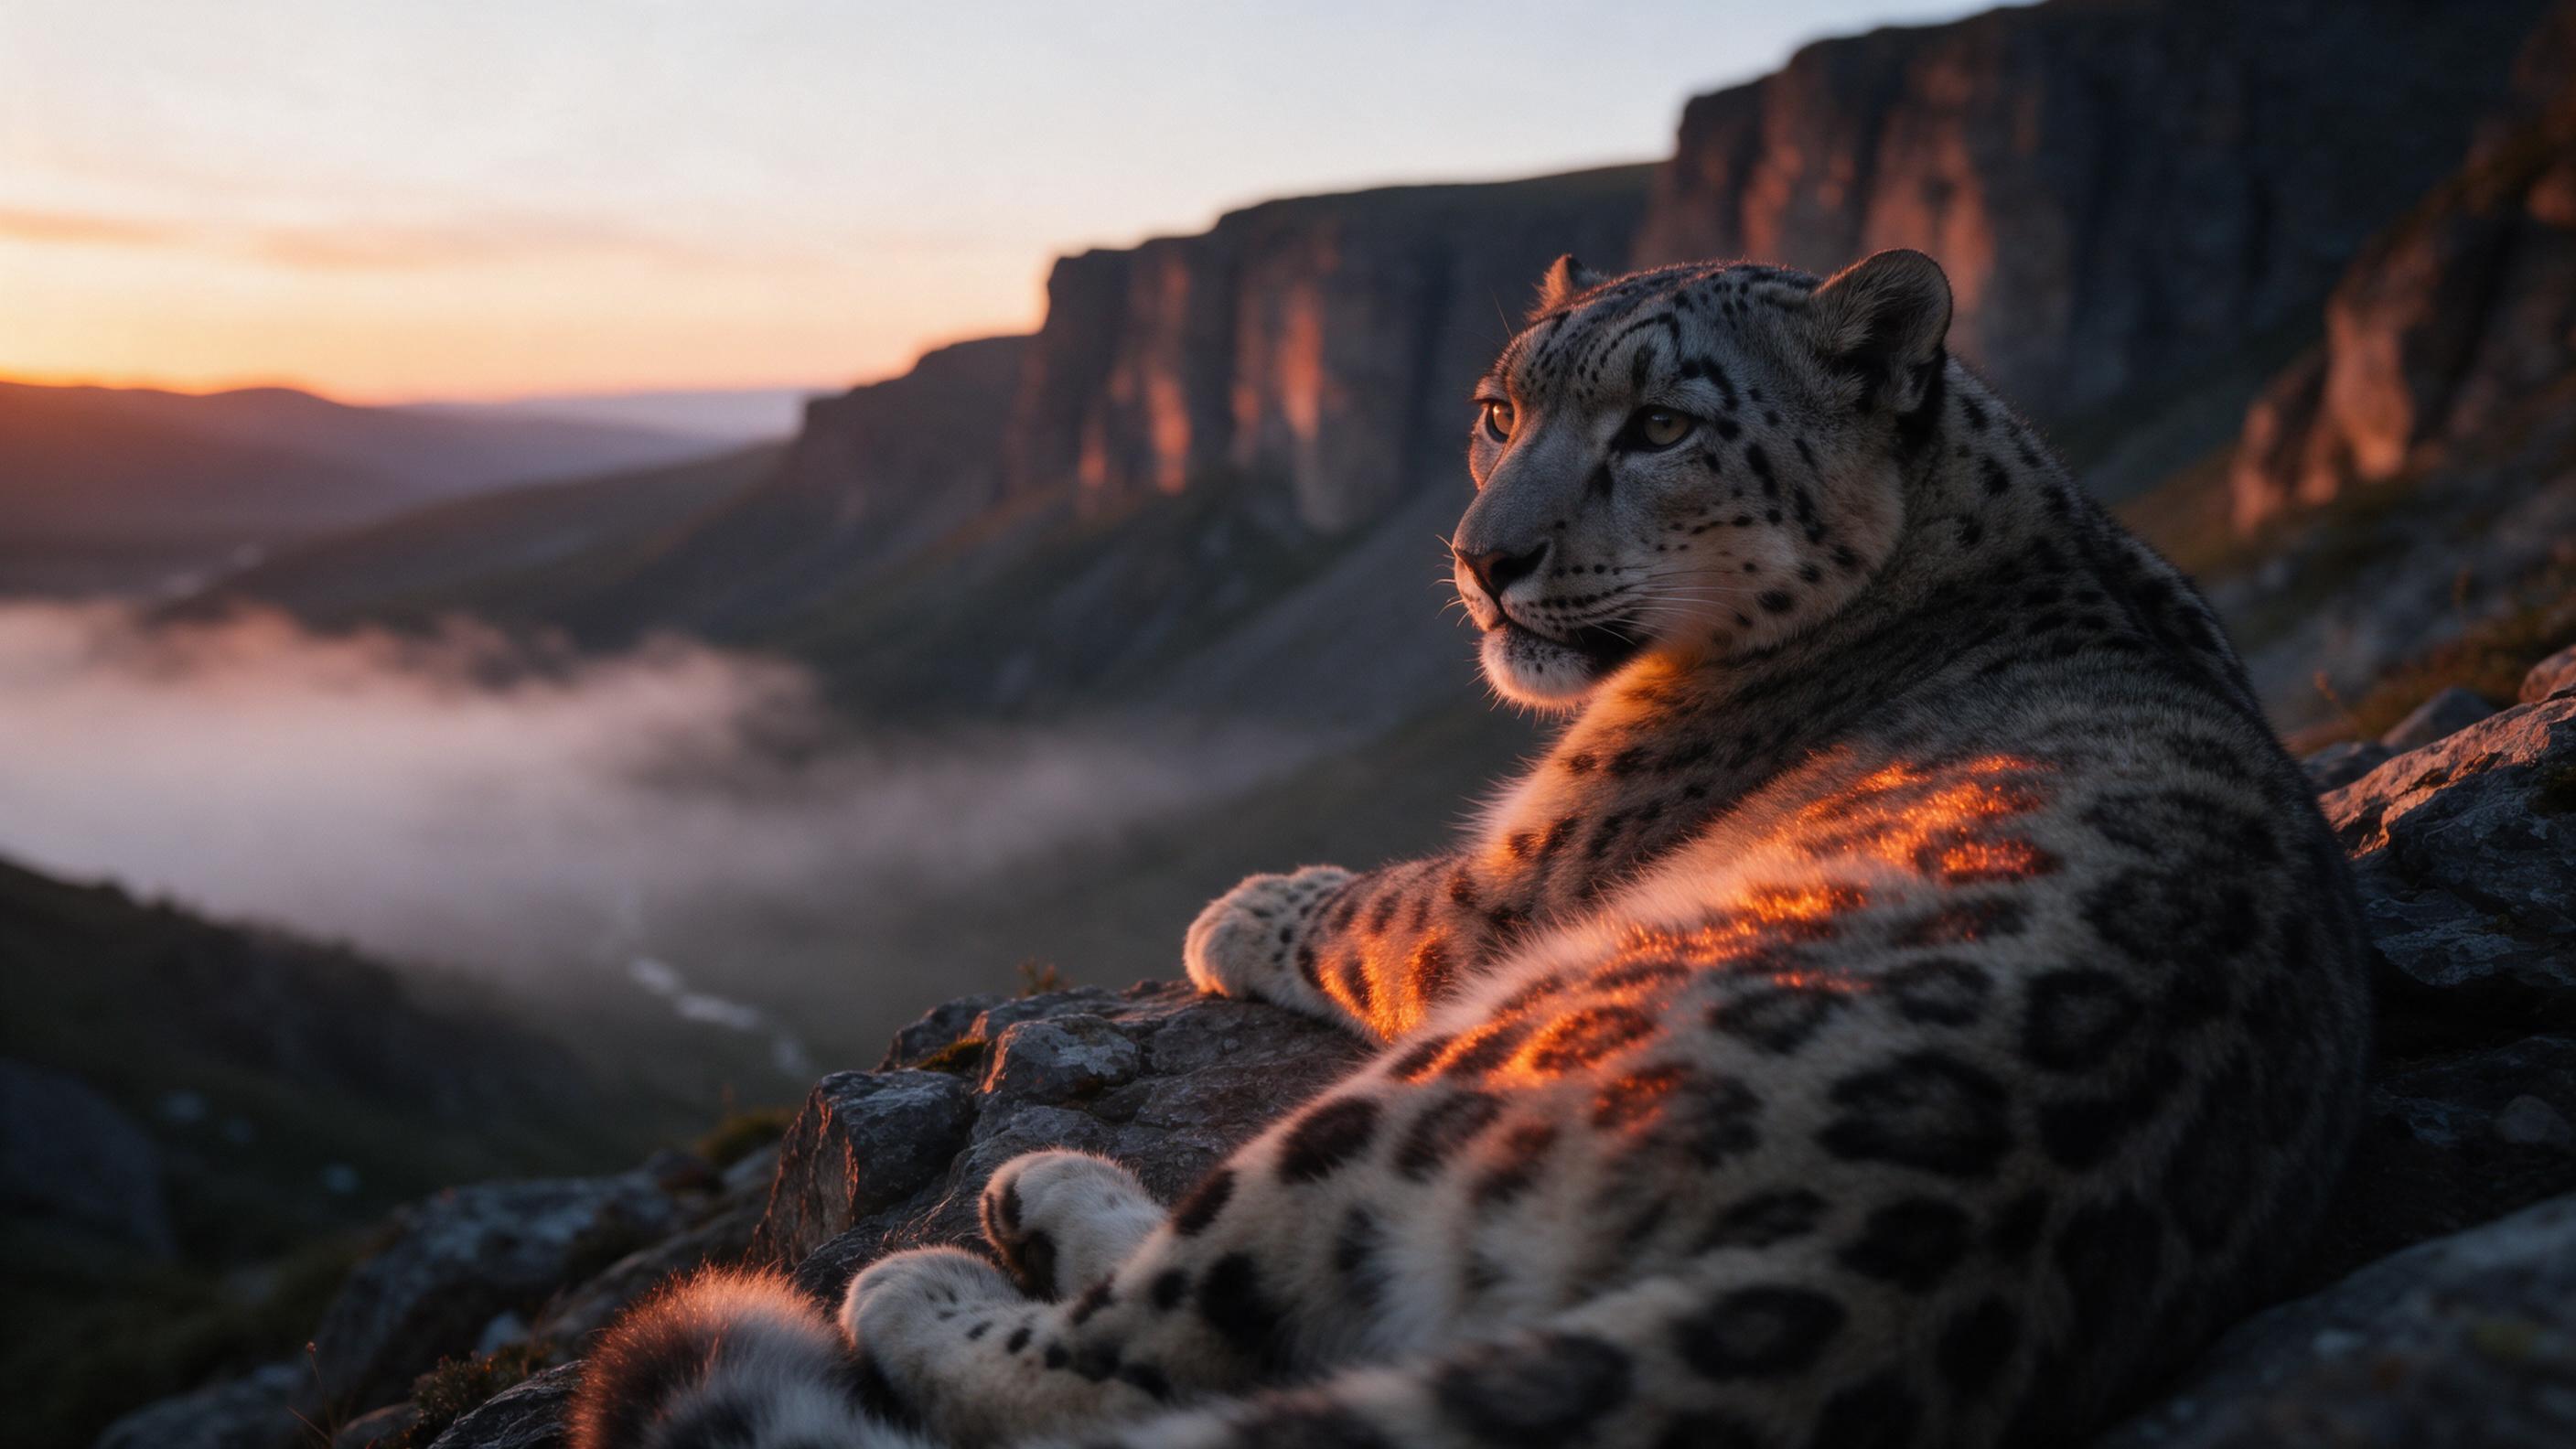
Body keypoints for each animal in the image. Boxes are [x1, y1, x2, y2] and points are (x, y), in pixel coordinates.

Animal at [570, 249, 2373, 1449]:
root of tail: (1892, 1252)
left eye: (1663, 425)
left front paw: (1250, 899)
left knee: (1152, 1355)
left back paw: (964, 1249)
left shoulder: (1520, 887)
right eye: (1499, 407)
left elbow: (1379, 904)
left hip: (1430, 1079)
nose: (1482, 556)